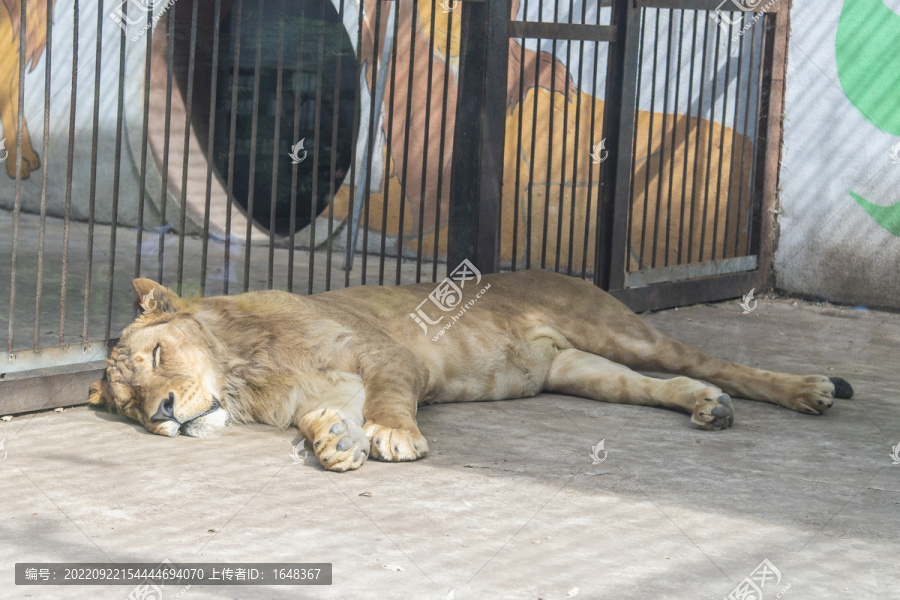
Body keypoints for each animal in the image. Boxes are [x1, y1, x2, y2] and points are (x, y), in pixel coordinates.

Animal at [88, 270, 856, 472]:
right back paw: (707, 406)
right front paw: (336, 444)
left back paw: (810, 389)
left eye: (156, 357)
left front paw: (393, 437)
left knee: (713, 361)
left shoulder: (388, 358)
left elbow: (392, 401)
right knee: (661, 387)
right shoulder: (322, 393)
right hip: (581, 369)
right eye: (129, 405)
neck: (246, 372)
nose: (161, 414)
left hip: (622, 334)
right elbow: (323, 419)